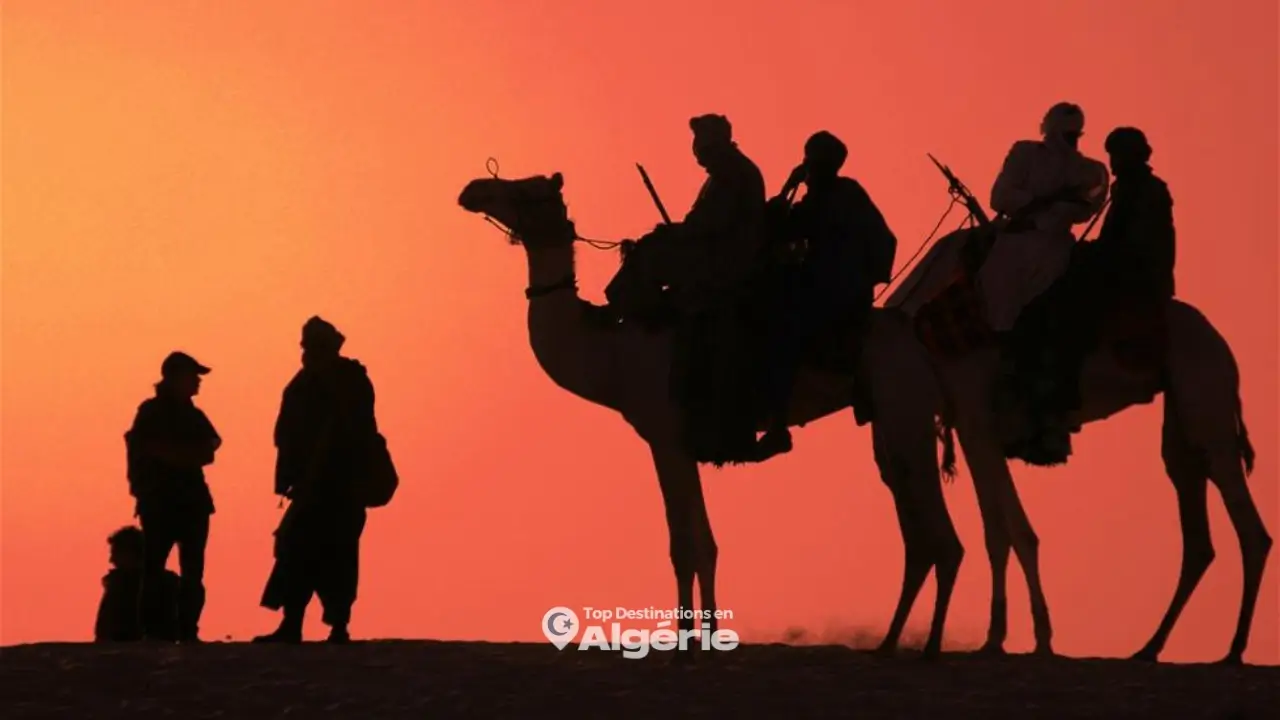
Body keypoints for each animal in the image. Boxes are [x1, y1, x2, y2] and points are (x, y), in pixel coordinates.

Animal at [460, 172, 962, 655]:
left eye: (526, 189)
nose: (473, 189)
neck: (613, 350)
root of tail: (923, 335)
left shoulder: (665, 437)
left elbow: (685, 546)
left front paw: (686, 644)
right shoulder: (682, 443)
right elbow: (705, 543)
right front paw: (705, 637)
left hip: (905, 408)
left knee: (944, 541)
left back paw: (929, 647)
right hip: (890, 419)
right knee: (919, 534)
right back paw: (889, 642)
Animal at [890, 225, 1269, 661]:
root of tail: (1223, 347)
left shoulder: (975, 414)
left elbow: (1012, 533)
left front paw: (1034, 637)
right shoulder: (969, 425)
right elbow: (999, 531)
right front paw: (999, 637)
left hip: (1206, 393)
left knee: (1247, 523)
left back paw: (1233, 651)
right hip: (1182, 409)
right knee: (1195, 521)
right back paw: (1149, 647)